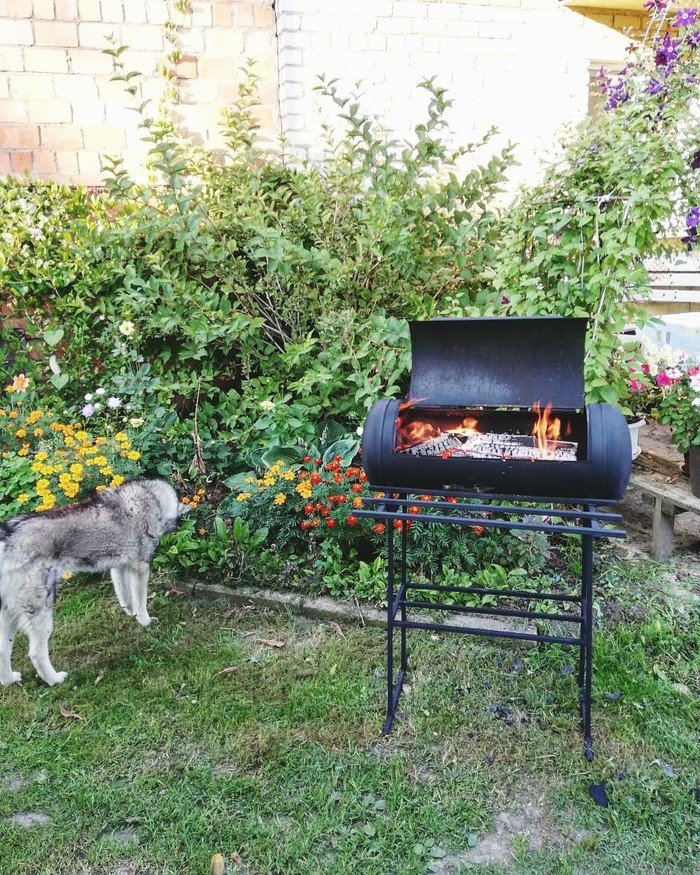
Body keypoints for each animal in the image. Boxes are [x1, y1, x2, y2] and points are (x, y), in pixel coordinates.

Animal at [0, 482, 190, 688]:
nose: (179, 525)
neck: (150, 497)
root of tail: (6, 537)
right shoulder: (140, 567)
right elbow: (140, 601)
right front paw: (145, 621)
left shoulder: (119, 567)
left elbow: (126, 596)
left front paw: (131, 614)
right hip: (41, 610)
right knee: (36, 653)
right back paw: (55, 679)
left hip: (9, 614)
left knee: (3, 650)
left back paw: (9, 680)